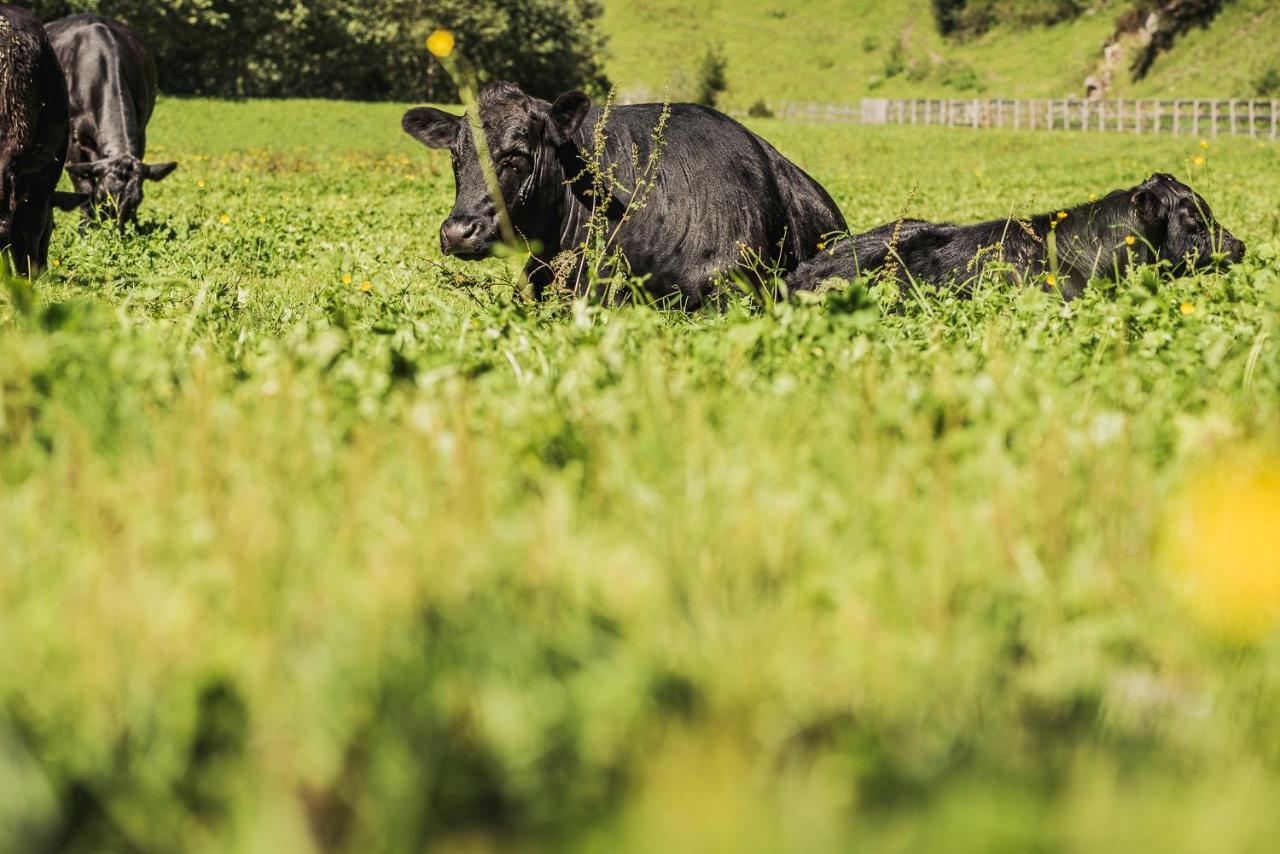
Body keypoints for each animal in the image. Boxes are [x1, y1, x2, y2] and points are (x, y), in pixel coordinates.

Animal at [47, 15, 176, 229]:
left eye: (137, 200)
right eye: (102, 197)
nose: (116, 233)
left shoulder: (140, 132)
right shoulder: (74, 141)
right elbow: (83, 187)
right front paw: (86, 228)